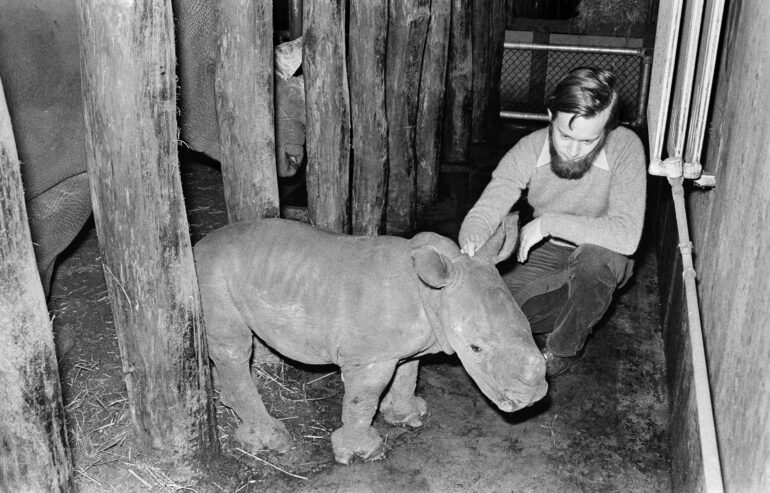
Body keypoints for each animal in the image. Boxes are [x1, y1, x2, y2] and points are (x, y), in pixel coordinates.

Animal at [194, 215, 548, 464]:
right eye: (475, 348)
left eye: (528, 327)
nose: (531, 398)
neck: (433, 293)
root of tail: (197, 245)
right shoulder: (369, 358)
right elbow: (364, 398)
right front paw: (362, 453)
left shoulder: (411, 342)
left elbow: (409, 373)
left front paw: (409, 416)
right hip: (210, 275)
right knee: (235, 349)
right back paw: (273, 440)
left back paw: (228, 401)